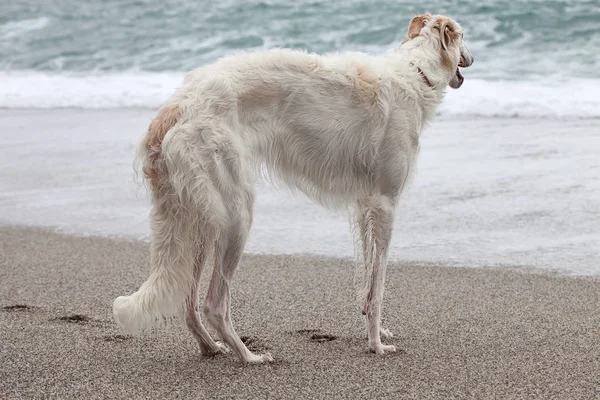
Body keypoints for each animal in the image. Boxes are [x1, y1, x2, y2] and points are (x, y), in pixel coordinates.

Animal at [113, 13, 474, 362]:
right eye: (463, 36)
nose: (472, 59)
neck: (414, 74)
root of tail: (174, 108)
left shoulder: (365, 206)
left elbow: (367, 279)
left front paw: (377, 331)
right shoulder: (385, 204)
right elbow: (379, 284)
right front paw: (376, 344)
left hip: (201, 217)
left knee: (189, 305)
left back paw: (212, 347)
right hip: (235, 215)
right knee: (213, 304)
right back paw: (248, 356)